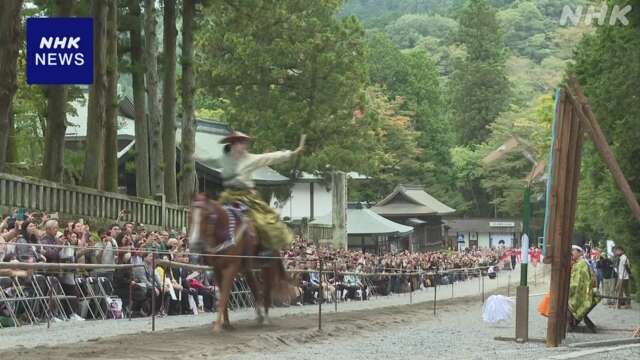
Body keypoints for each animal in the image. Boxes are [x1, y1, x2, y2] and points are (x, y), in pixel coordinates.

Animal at [185, 194, 284, 332]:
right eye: (190, 215)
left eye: (207, 216)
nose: (194, 244)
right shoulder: (217, 269)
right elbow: (223, 295)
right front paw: (226, 323)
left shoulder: (231, 268)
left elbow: (224, 296)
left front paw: (217, 326)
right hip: (248, 268)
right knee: (255, 287)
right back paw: (260, 316)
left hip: (268, 266)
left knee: (267, 288)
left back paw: (266, 318)